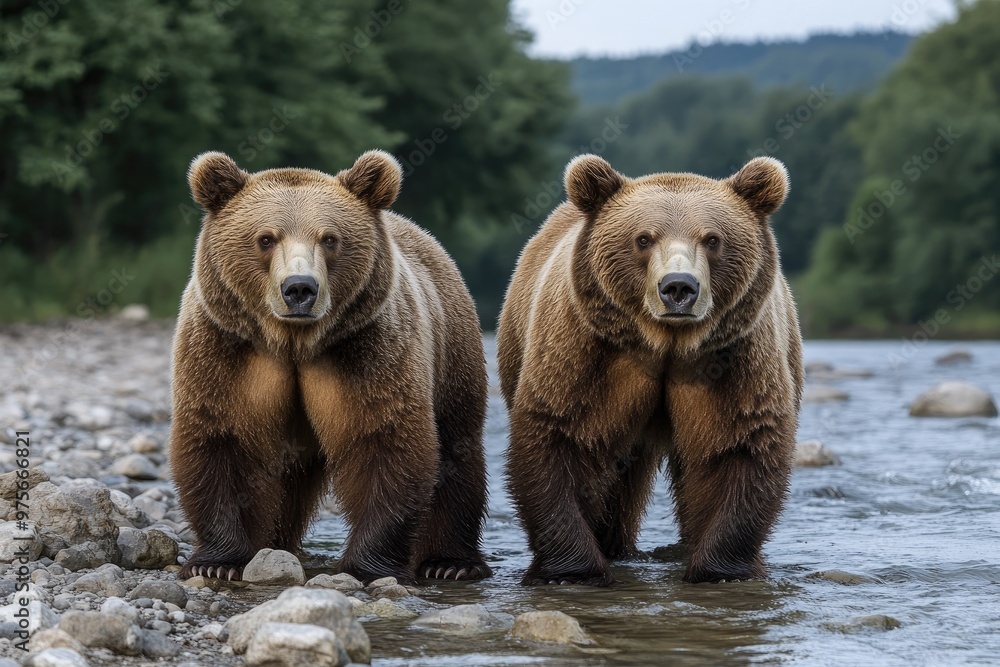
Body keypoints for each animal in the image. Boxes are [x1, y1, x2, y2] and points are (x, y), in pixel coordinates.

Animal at [170, 149, 492, 585]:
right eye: (266, 238)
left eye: (330, 238)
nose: (299, 288)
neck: (294, 343)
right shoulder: (228, 351)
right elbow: (223, 438)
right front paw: (218, 561)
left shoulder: (366, 351)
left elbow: (385, 439)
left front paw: (368, 566)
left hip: (452, 353)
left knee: (458, 446)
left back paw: (449, 562)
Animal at [497, 154, 803, 585]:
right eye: (643, 238)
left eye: (712, 239)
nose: (678, 287)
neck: (666, 345)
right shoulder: (588, 353)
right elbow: (561, 434)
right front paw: (572, 569)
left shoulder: (732, 359)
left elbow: (739, 443)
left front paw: (720, 568)